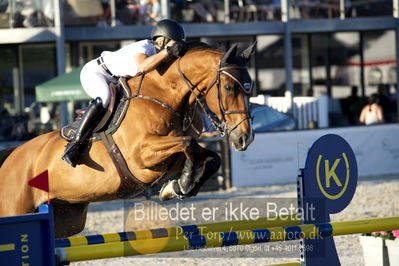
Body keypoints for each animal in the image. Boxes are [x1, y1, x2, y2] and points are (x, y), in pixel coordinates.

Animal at [0, 41, 256, 237]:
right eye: (229, 87)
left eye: (250, 88)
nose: (245, 138)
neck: (163, 96)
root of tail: (11, 156)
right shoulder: (142, 156)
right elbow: (189, 144)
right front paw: (181, 184)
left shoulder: (168, 158)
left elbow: (209, 157)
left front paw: (176, 187)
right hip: (16, 209)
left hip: (67, 217)